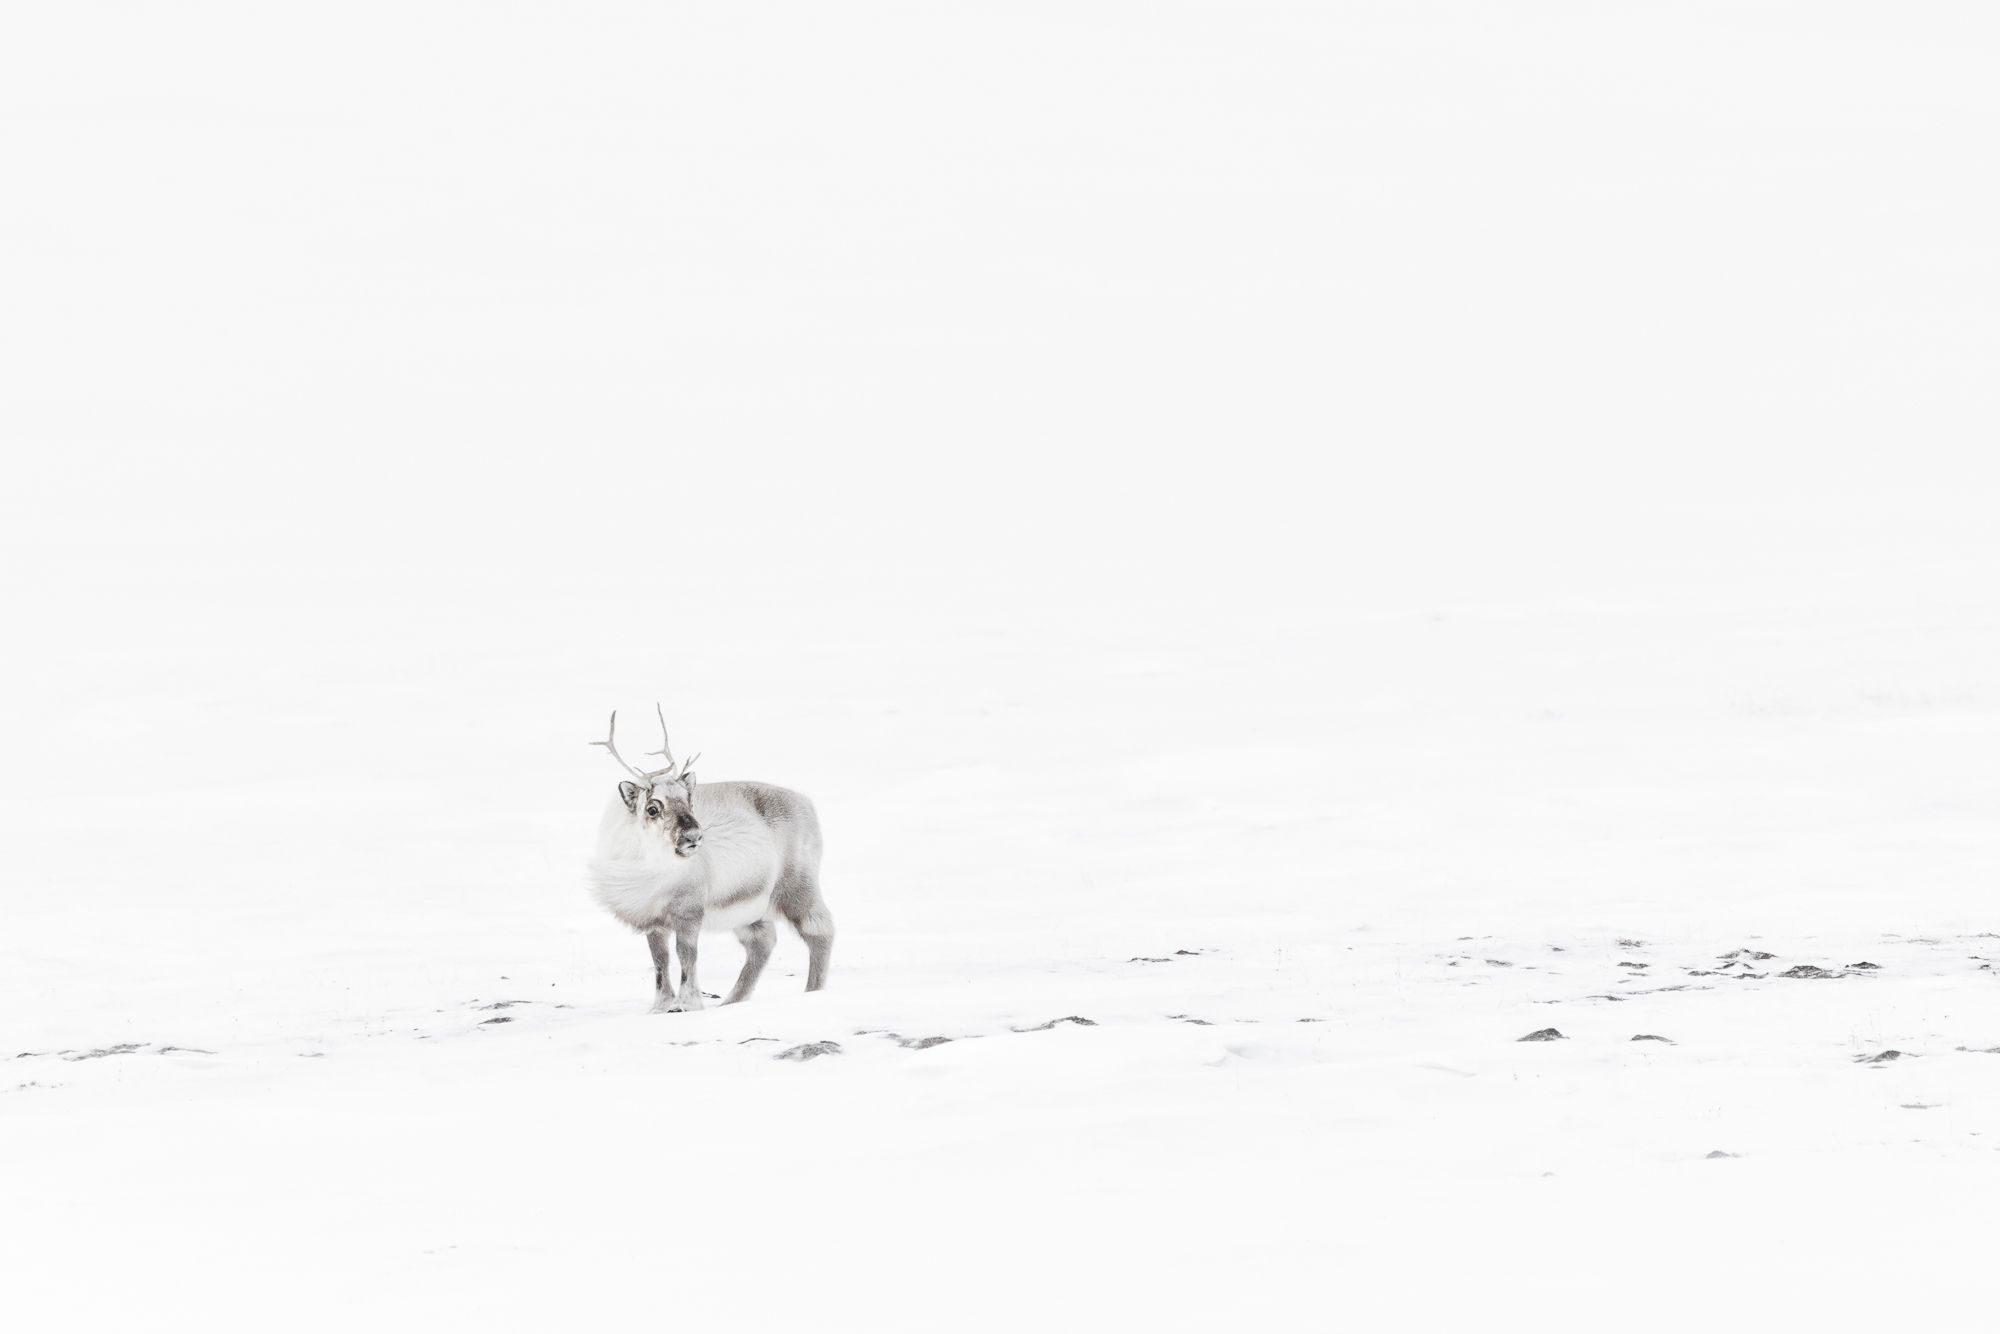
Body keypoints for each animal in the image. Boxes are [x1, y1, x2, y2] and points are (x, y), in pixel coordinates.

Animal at [585, 706, 835, 1013]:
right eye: (653, 808)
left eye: (688, 800)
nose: (694, 835)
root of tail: (806, 802)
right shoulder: (653, 921)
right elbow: (660, 961)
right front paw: (660, 1006)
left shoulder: (689, 911)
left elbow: (686, 955)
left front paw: (687, 1003)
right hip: (751, 910)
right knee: (762, 941)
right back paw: (731, 1001)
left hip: (797, 888)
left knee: (819, 930)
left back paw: (812, 992)